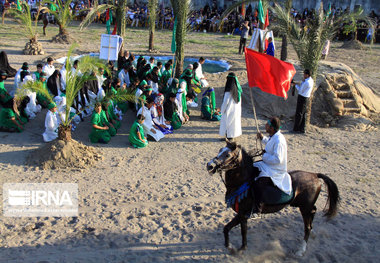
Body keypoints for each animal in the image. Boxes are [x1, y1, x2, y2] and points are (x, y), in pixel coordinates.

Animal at [206, 141, 340, 256]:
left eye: (227, 154)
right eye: (220, 150)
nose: (209, 165)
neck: (242, 182)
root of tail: (315, 175)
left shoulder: (243, 214)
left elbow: (242, 231)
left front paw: (241, 248)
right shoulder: (240, 214)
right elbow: (227, 228)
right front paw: (230, 247)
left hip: (304, 208)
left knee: (307, 227)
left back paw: (301, 250)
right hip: (304, 206)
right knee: (313, 213)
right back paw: (312, 233)